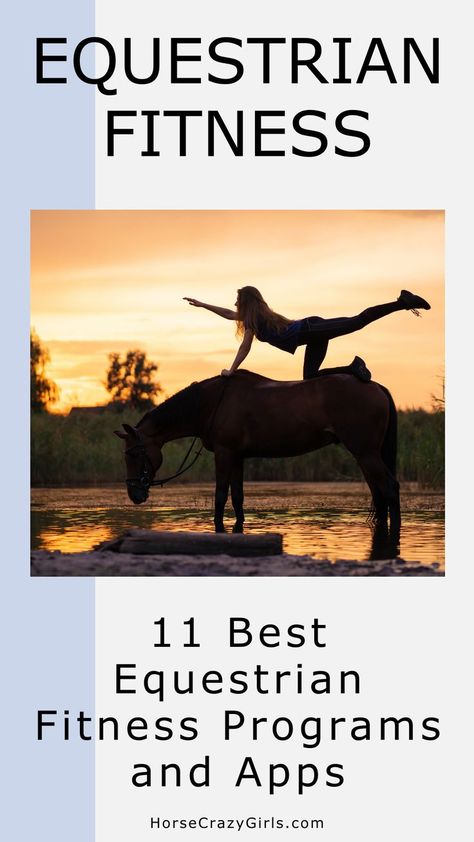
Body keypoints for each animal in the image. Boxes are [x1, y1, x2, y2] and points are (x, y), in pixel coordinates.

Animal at [115, 370, 400, 536]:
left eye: (132, 454)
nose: (134, 494)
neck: (211, 403)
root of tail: (375, 386)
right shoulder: (237, 457)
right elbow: (238, 498)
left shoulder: (224, 454)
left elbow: (220, 496)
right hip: (365, 455)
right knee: (379, 492)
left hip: (365, 453)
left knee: (390, 487)